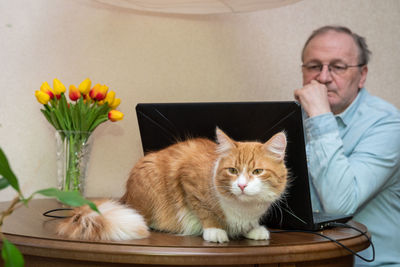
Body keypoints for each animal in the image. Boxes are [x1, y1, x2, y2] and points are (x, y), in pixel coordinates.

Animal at [57, 129, 288, 244]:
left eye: (257, 172)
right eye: (232, 170)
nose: (241, 185)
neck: (244, 209)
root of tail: (126, 195)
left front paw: (253, 229)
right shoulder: (187, 179)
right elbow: (205, 211)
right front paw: (215, 231)